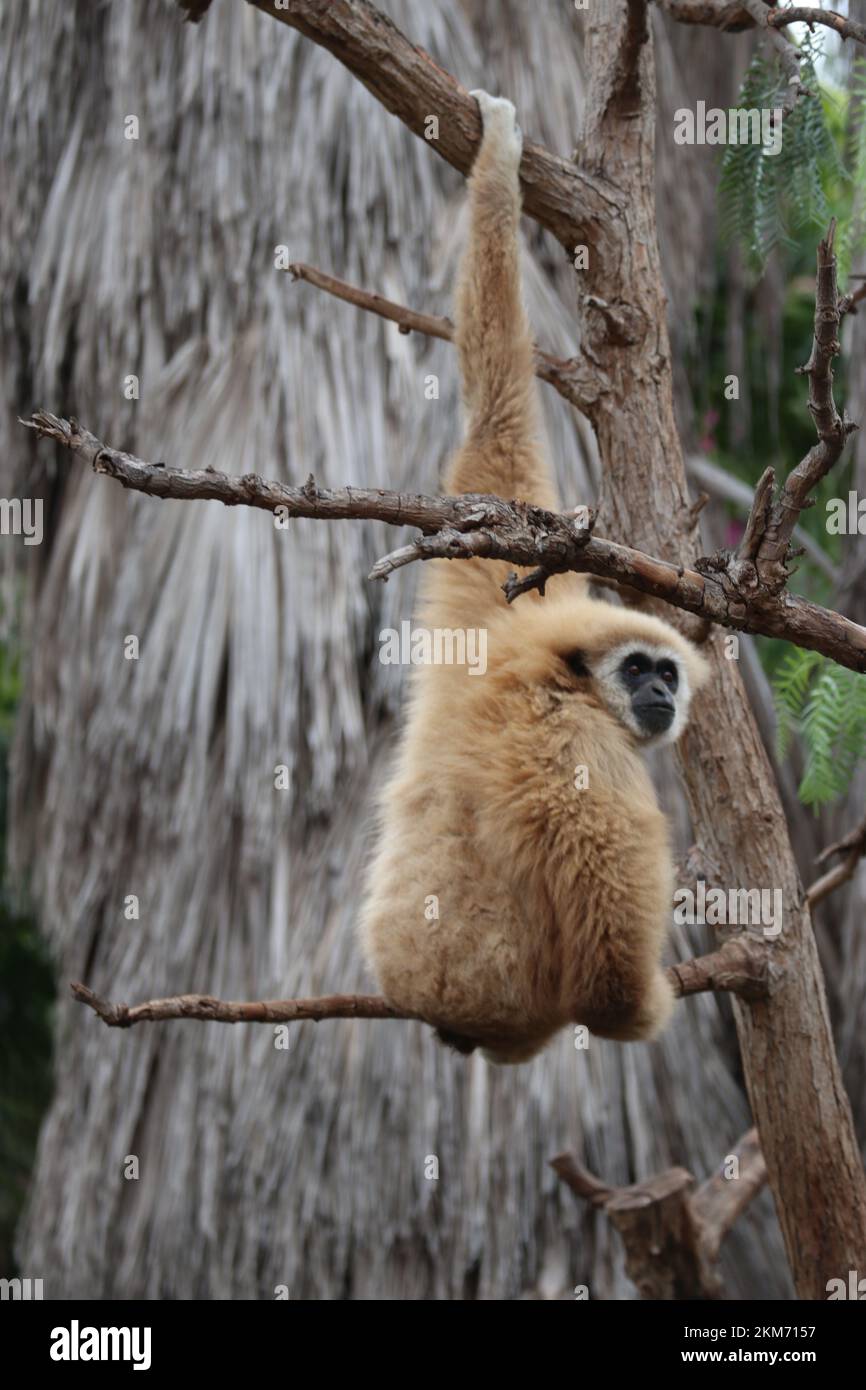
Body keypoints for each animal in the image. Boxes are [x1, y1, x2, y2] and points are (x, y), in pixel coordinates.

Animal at [359, 92, 709, 1064]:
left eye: (670, 674)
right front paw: (643, 1007)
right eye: (640, 669)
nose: (661, 693)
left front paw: (497, 168)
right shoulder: (583, 755)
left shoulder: (490, 608)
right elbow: (609, 960)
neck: (546, 670)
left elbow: (496, 429)